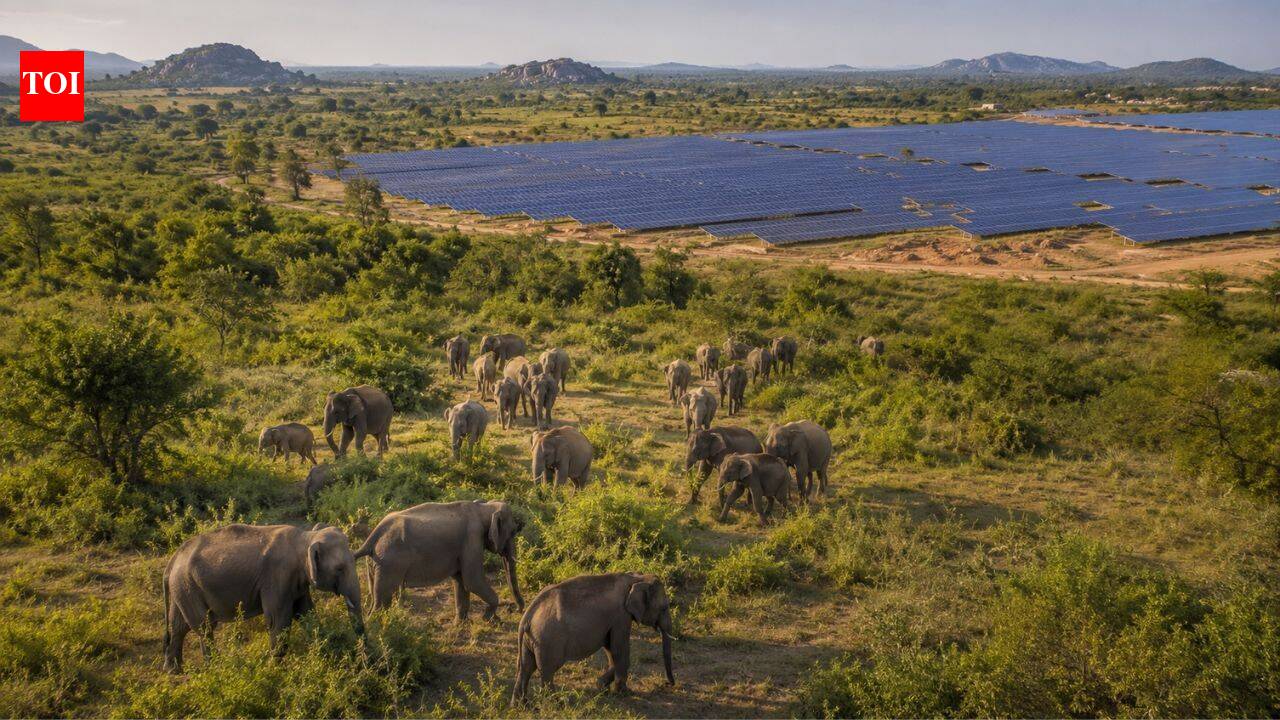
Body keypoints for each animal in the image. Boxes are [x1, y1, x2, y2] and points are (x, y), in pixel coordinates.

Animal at [163, 523, 363, 672]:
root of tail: (173, 559)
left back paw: (173, 670)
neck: (306, 537)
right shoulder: (277, 578)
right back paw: (215, 668)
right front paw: (274, 670)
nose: (362, 659)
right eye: (339, 569)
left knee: (178, 625)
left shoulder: (297, 582)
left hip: (182, 589)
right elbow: (278, 621)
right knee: (204, 628)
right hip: (188, 587)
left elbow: (306, 613)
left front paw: (325, 653)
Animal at [355, 500, 523, 620]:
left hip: (376, 562)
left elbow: (461, 581)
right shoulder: (472, 539)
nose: (515, 610)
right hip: (389, 562)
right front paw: (488, 618)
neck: (483, 507)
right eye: (513, 532)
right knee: (382, 599)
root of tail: (374, 534)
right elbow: (472, 580)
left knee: (375, 595)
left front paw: (461, 624)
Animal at [512, 572, 674, 702]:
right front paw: (624, 693)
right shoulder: (621, 616)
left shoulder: (614, 621)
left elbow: (610, 649)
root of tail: (527, 615)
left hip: (530, 640)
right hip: (548, 640)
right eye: (664, 608)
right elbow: (619, 649)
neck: (636, 577)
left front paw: (602, 687)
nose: (668, 684)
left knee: (526, 667)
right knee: (547, 669)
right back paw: (556, 703)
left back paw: (521, 706)